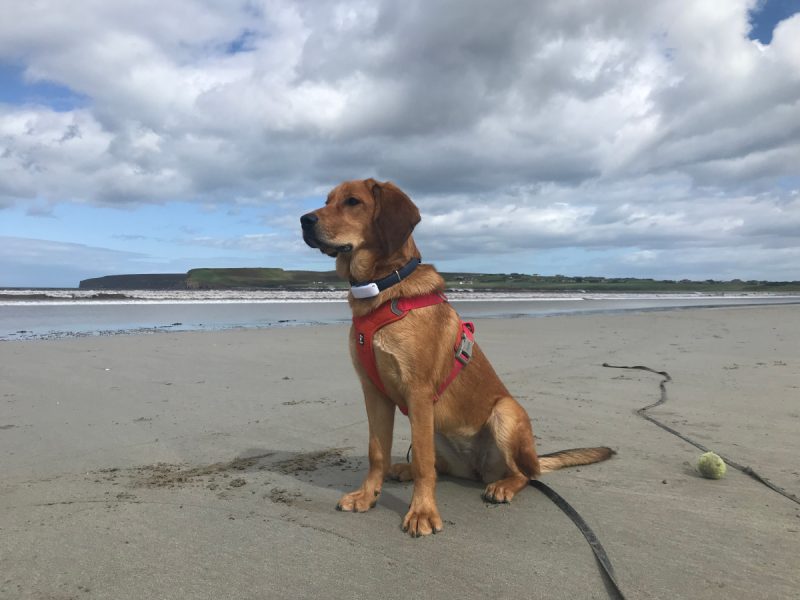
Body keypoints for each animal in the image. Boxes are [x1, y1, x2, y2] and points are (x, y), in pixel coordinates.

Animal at [300, 179, 612, 540]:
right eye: (327, 200)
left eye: (352, 202)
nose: (304, 220)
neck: (383, 287)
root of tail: (477, 467)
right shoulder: (373, 391)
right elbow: (377, 451)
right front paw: (368, 495)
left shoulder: (418, 392)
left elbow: (424, 462)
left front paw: (422, 511)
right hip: (436, 428)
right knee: (441, 465)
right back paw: (403, 468)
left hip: (504, 412)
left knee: (524, 474)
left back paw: (503, 486)